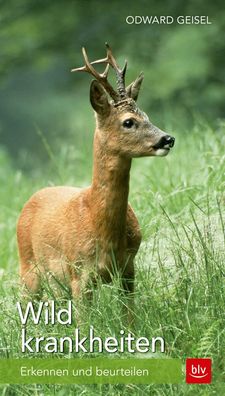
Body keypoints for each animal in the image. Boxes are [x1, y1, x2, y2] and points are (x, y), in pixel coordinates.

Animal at [17, 43, 175, 322]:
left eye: (147, 115)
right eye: (128, 121)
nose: (167, 139)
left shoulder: (128, 267)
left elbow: (129, 317)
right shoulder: (79, 274)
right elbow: (83, 323)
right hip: (28, 269)